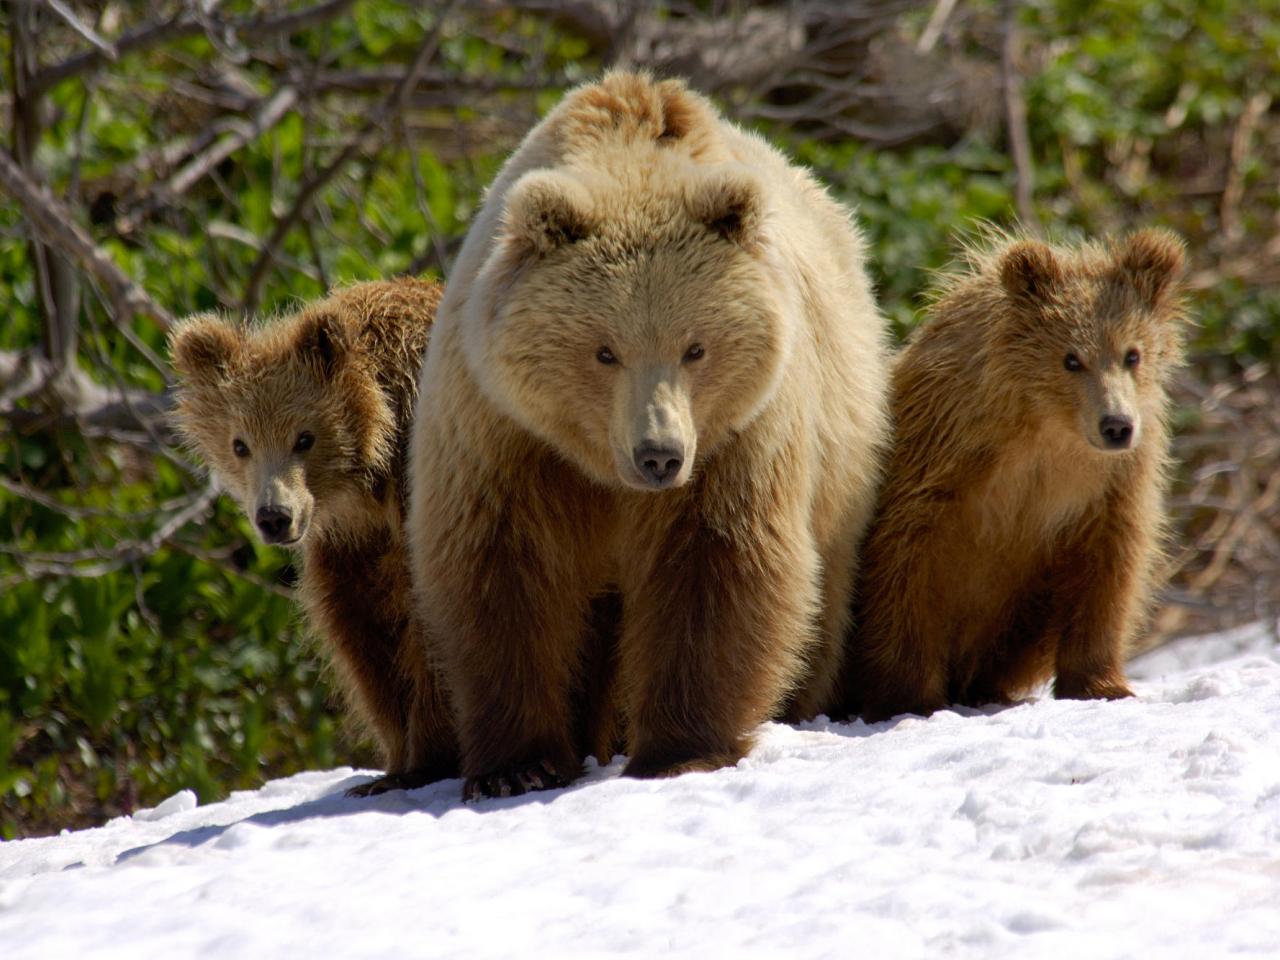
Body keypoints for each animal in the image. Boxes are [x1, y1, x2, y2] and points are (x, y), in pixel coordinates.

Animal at [171, 280, 455, 798]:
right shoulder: (351, 548)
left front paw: (427, 760)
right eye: (240, 444)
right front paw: (392, 764)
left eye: (304, 437)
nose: (274, 517)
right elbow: (362, 636)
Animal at [409, 71, 890, 798]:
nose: (658, 454)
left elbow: (715, 564)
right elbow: (503, 572)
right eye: (604, 351)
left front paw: (681, 749)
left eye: (696, 347)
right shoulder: (505, 434)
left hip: (841, 453)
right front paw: (517, 766)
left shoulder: (737, 437)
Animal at [839, 229, 1187, 721]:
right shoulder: (941, 462)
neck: (1046, 431)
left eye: (1132, 354)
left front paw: (1102, 684)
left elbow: (1108, 568)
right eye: (1071, 359)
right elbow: (904, 565)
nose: (1116, 425)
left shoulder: (1109, 486)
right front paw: (907, 697)